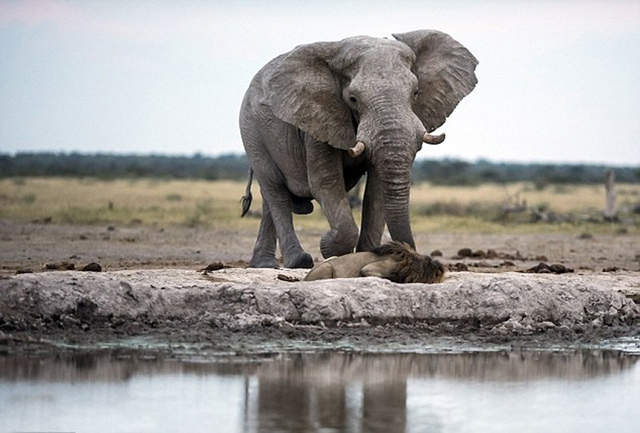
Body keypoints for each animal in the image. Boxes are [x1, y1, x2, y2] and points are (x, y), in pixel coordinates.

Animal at [241, 28, 480, 266]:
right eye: (353, 99)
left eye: (416, 93)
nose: (414, 255)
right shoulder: (317, 117)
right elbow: (325, 182)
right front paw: (329, 246)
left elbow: (377, 188)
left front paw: (368, 255)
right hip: (252, 132)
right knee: (275, 191)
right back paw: (298, 262)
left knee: (270, 199)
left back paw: (264, 264)